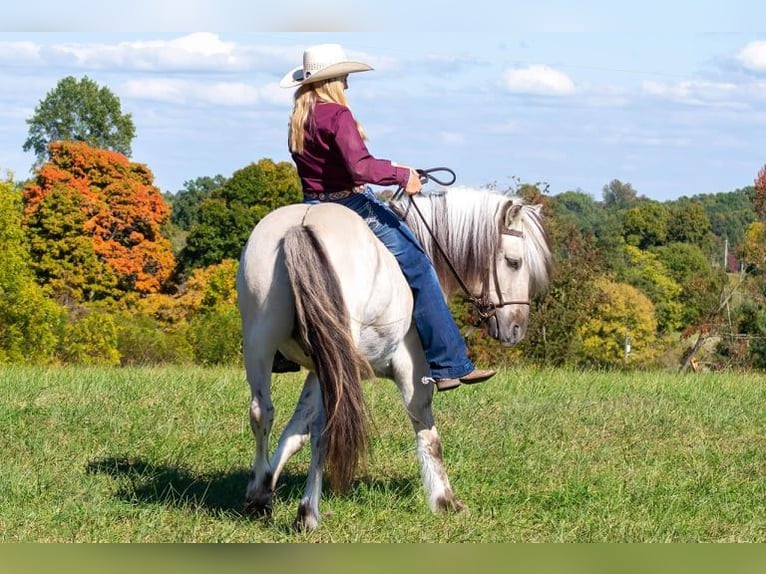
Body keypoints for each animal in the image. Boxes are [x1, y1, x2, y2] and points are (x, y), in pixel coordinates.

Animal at [234, 188, 552, 532]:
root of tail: (301, 225)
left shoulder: (316, 371)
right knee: (324, 425)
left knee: (262, 412)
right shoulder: (413, 370)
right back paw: (309, 513)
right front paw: (446, 501)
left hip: (262, 342)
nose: (517, 328)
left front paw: (262, 489)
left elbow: (295, 431)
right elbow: (427, 432)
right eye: (514, 262)